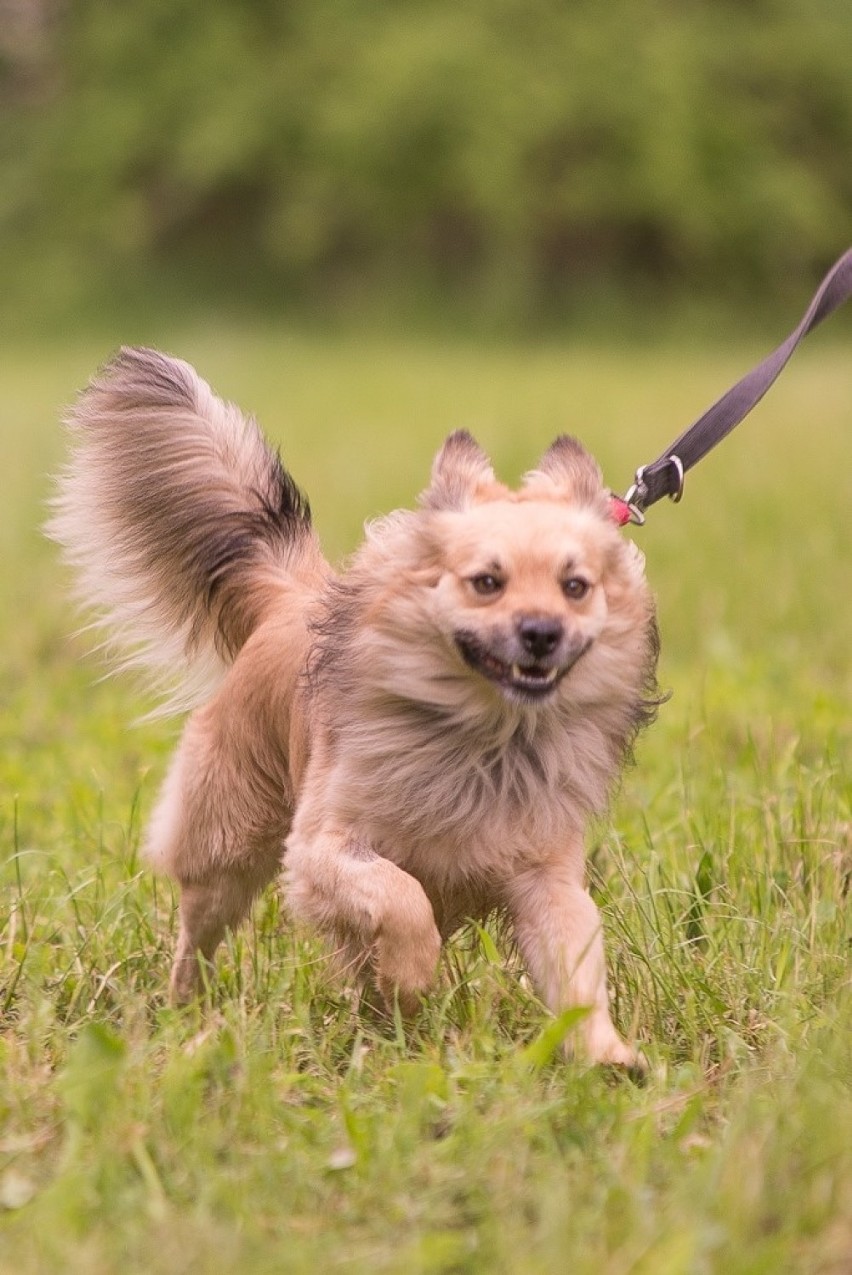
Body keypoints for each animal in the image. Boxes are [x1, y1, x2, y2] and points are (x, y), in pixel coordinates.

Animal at [50, 346, 663, 1065]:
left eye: (576, 587)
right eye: (487, 582)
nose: (542, 632)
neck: (484, 737)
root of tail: (293, 598)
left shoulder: (545, 876)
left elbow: (576, 965)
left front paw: (607, 1054)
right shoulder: (322, 849)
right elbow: (403, 897)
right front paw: (414, 973)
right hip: (226, 849)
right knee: (197, 937)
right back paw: (188, 1011)